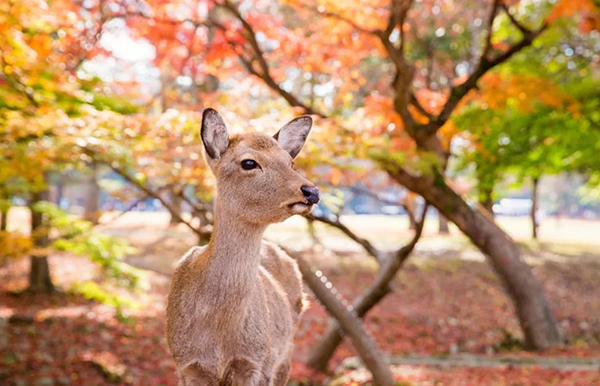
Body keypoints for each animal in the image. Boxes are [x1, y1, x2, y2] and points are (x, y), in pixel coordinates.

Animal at [165, 108, 318, 386]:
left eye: (290, 162)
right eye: (248, 163)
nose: (311, 191)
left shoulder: (255, 361)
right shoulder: (186, 364)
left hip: (284, 355)